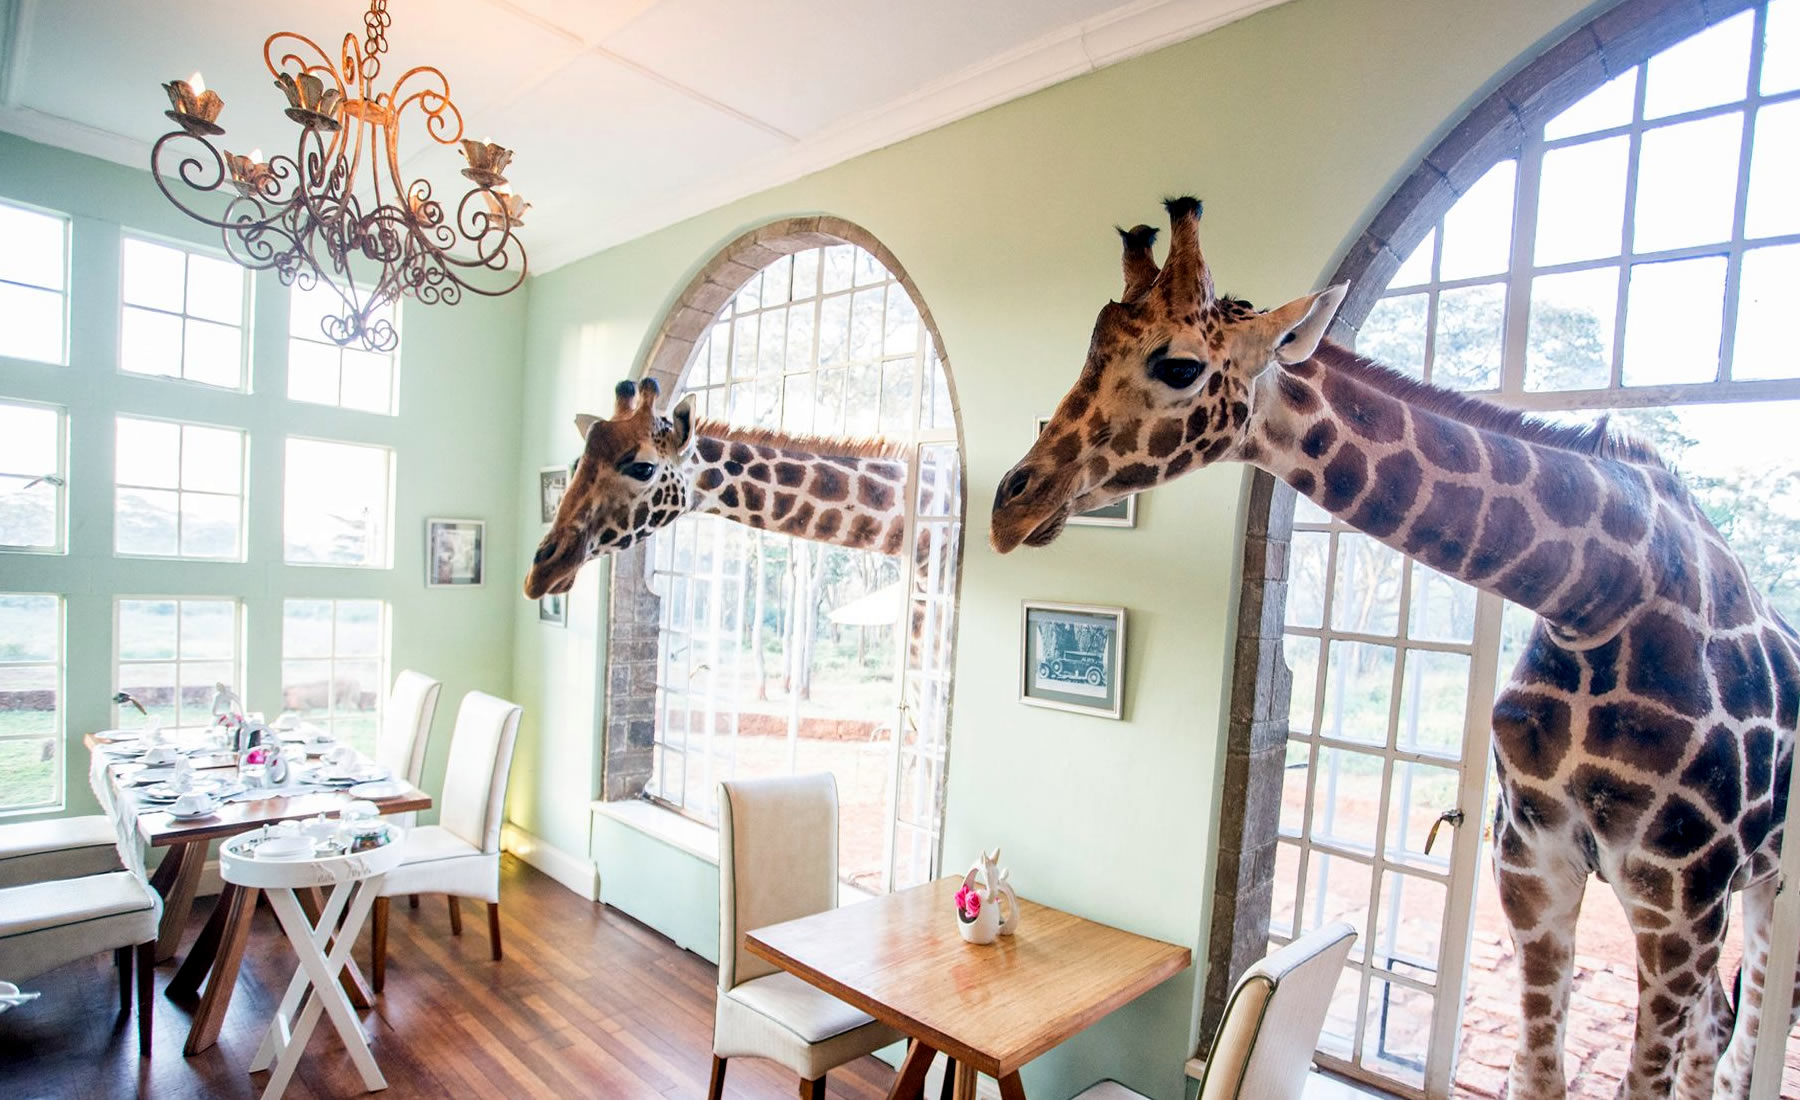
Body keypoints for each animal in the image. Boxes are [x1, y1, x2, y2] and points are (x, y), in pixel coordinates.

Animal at [988, 197, 1799, 1099]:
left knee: (1735, 1035)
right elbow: (1538, 1076)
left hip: (1758, 892)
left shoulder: (1681, 902)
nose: (1010, 505)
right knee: (1718, 1030)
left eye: (1179, 366)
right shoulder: (1533, 870)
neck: (1599, 593)